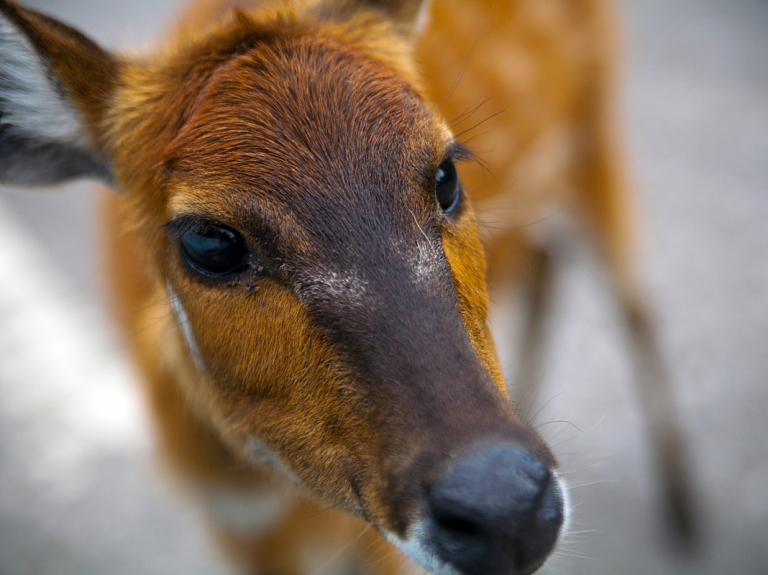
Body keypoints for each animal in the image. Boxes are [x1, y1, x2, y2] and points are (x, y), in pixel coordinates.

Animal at [0, 0, 696, 572]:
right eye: (210, 243)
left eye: (445, 173)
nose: (507, 506)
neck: (270, 494)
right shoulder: (236, 526)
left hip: (596, 130)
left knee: (634, 302)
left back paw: (685, 513)